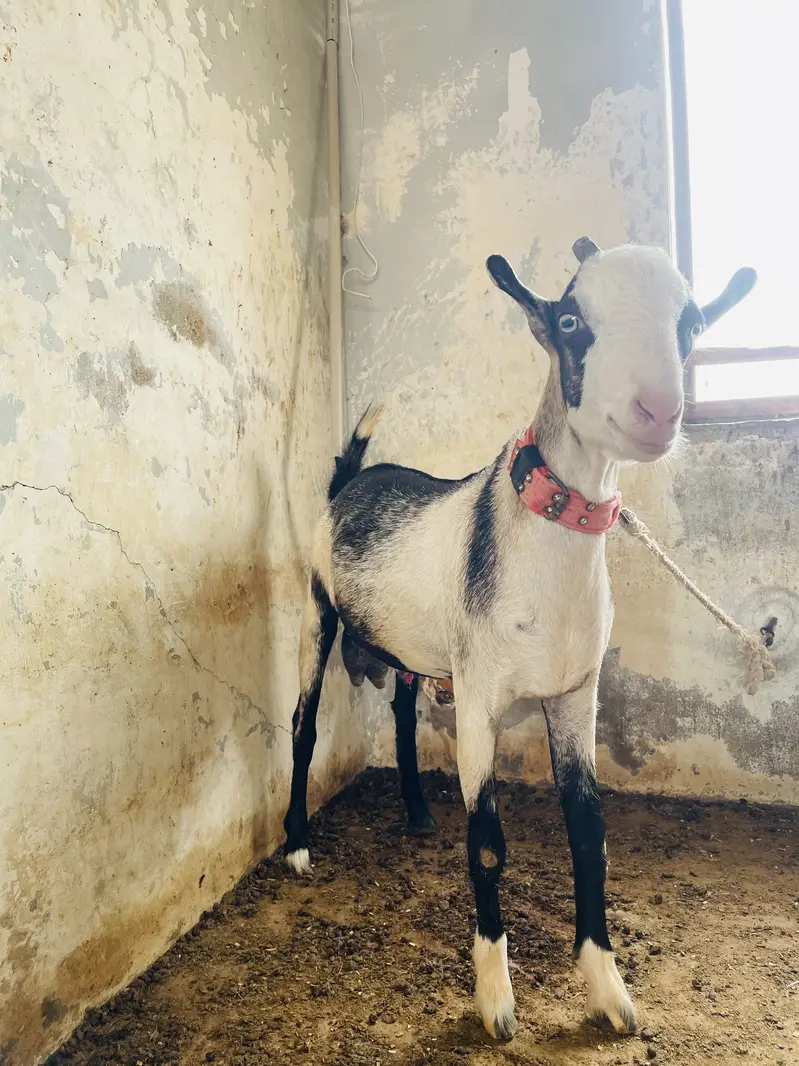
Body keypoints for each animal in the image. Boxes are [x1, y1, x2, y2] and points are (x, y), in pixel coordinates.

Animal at [282, 238, 756, 1039]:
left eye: (690, 323)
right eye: (568, 319)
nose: (656, 409)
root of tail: (350, 480)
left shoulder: (573, 694)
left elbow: (589, 835)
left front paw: (607, 990)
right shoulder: (479, 703)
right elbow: (487, 844)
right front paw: (495, 1000)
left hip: (417, 644)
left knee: (403, 709)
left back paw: (416, 812)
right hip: (319, 610)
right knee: (303, 720)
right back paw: (295, 843)